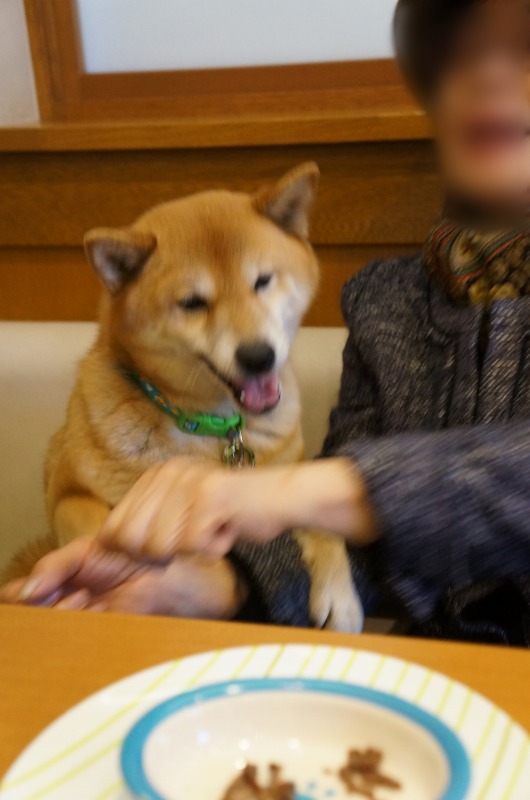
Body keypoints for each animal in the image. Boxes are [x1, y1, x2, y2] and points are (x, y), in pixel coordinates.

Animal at [6, 163, 363, 633]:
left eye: (263, 281)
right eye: (193, 303)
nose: (258, 356)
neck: (209, 426)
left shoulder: (290, 475)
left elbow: (323, 524)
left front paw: (340, 596)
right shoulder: (69, 495)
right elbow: (97, 535)